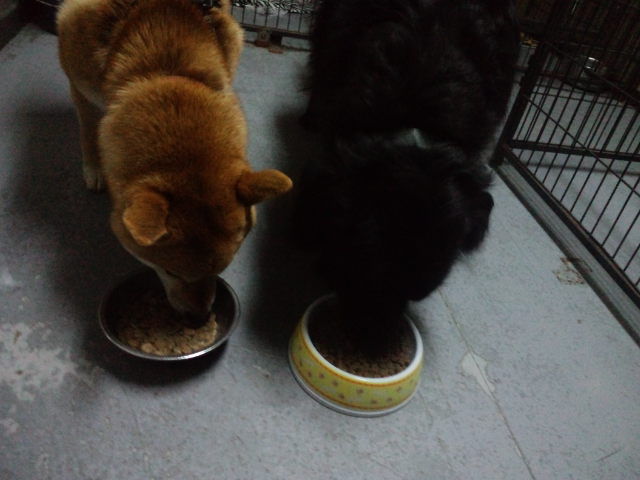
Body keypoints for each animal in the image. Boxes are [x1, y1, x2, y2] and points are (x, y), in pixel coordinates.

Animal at [58, 0, 292, 325]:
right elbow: (88, 124)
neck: (165, 71)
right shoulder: (81, 78)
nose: (200, 318)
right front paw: (94, 165)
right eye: (170, 271)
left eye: (222, 270)